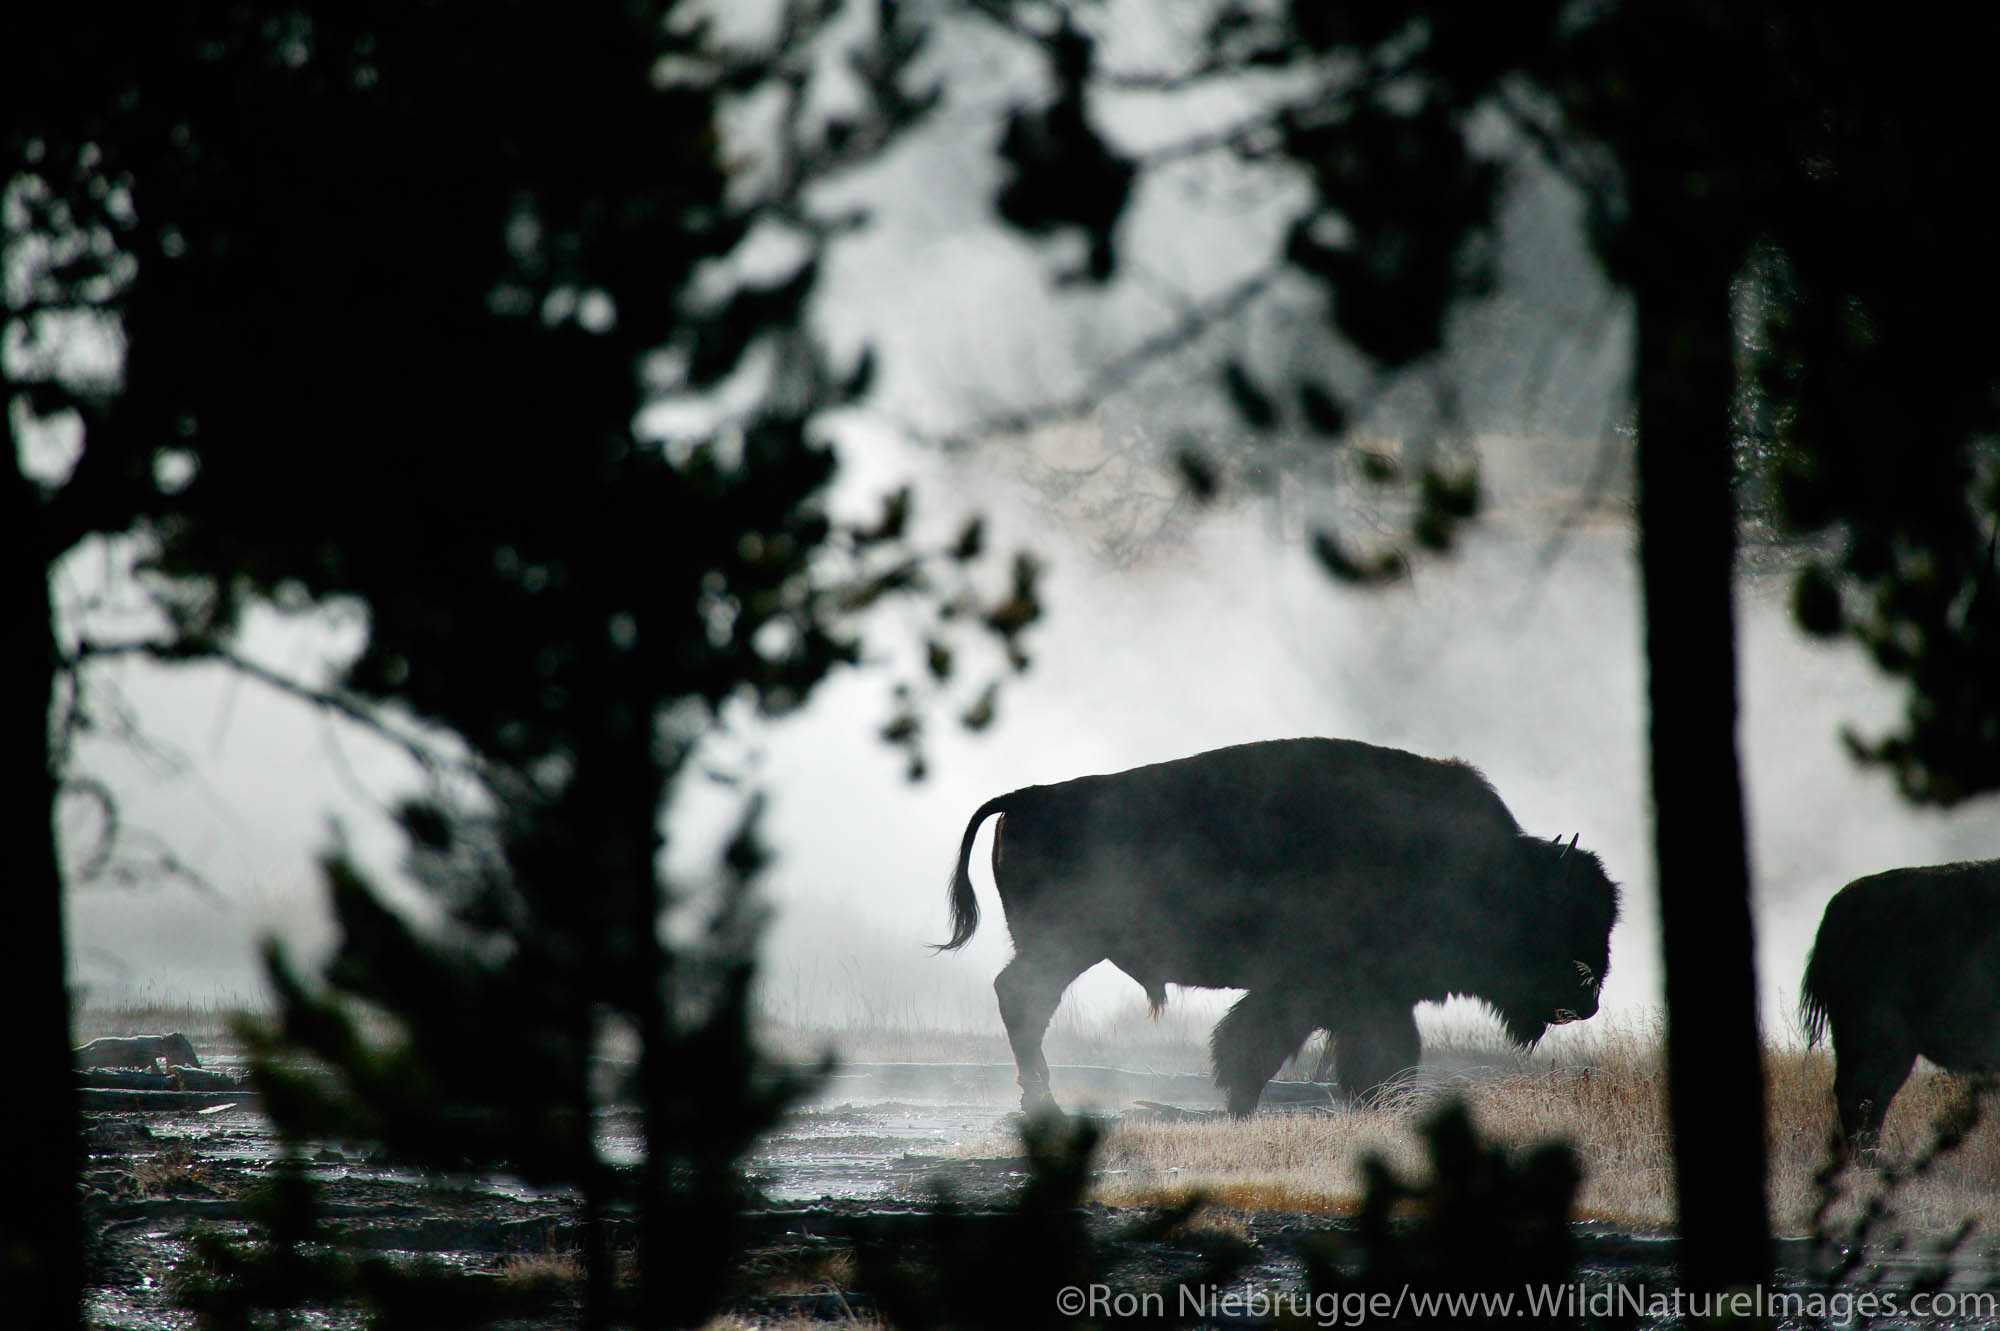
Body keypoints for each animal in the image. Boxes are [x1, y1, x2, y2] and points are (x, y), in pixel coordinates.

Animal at [940, 735, 1624, 1111]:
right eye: (1559, 915)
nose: (1587, 998)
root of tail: (1029, 798)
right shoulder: (1324, 989)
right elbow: (1262, 1048)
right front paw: (1241, 1107)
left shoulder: (1367, 997)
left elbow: (1374, 1057)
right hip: (1066, 945)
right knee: (1022, 998)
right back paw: (1042, 1100)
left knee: (1021, 999)